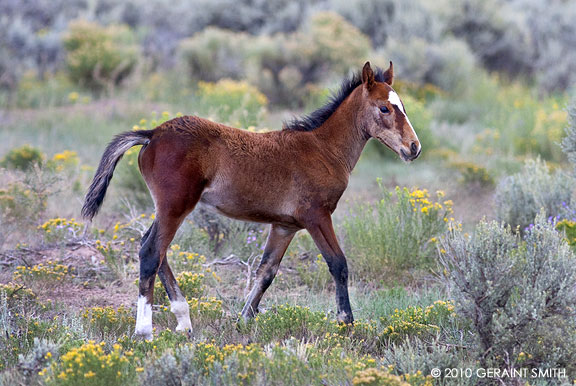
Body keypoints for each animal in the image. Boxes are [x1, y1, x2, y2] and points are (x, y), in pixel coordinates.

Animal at [81, 60, 420, 338]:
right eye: (385, 108)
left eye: (402, 105)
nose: (414, 147)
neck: (323, 149)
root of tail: (152, 134)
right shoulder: (317, 216)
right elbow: (338, 264)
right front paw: (346, 323)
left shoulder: (285, 226)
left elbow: (266, 271)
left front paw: (243, 320)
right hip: (175, 206)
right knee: (151, 251)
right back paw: (144, 332)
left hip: (169, 208)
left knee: (154, 249)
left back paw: (184, 321)